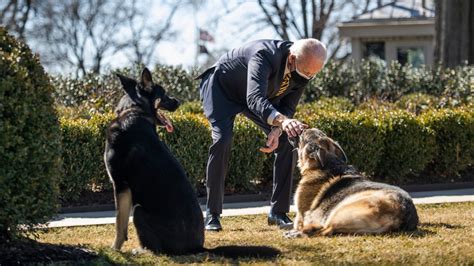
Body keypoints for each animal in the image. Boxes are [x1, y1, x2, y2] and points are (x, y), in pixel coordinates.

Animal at [105, 68, 280, 258]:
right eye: (164, 94)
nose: (178, 102)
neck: (133, 110)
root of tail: (198, 247)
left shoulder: (120, 185)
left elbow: (119, 224)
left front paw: (114, 249)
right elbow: (121, 224)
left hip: (139, 211)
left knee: (158, 249)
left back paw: (142, 251)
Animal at [286, 129, 416, 237]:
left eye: (302, 134)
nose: (298, 128)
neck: (329, 162)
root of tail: (402, 213)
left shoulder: (301, 215)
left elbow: (299, 222)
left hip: (339, 211)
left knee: (325, 230)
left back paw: (299, 233)